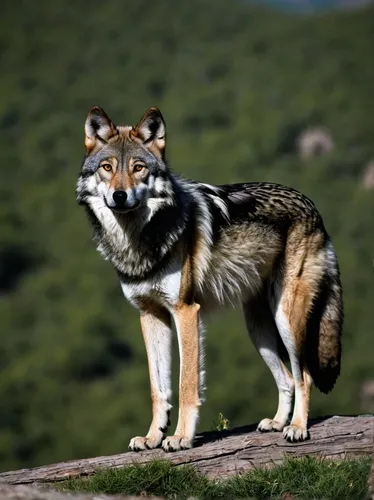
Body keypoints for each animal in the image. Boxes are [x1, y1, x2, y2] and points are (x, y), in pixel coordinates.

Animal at [75, 107, 342, 452]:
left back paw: (296, 428)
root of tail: (312, 207)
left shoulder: (186, 311)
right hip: (258, 330)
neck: (138, 241)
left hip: (287, 321)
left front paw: (180, 437)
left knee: (303, 375)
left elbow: (187, 384)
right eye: (107, 168)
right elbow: (158, 389)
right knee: (285, 378)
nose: (119, 196)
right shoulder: (150, 315)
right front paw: (152, 436)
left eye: (138, 168)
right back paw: (277, 422)